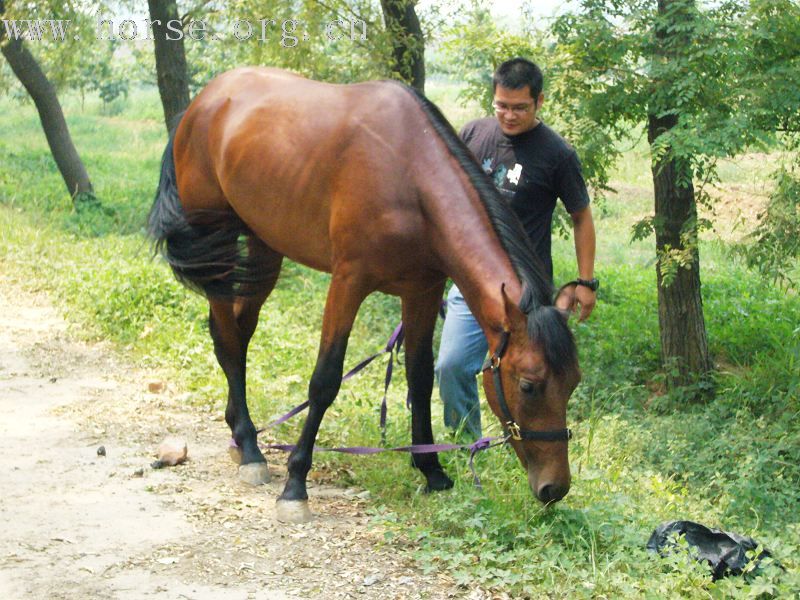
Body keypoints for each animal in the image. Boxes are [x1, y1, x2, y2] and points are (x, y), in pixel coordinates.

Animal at [147, 68, 580, 524]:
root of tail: (203, 102)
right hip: (218, 240)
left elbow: (420, 378)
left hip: (265, 246)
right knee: (228, 337)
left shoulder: (423, 290)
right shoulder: (349, 281)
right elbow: (325, 381)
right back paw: (250, 450)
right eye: (530, 385)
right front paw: (295, 485)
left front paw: (432, 471)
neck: (410, 177)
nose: (554, 488)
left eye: (573, 382)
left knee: (239, 330)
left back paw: (239, 435)